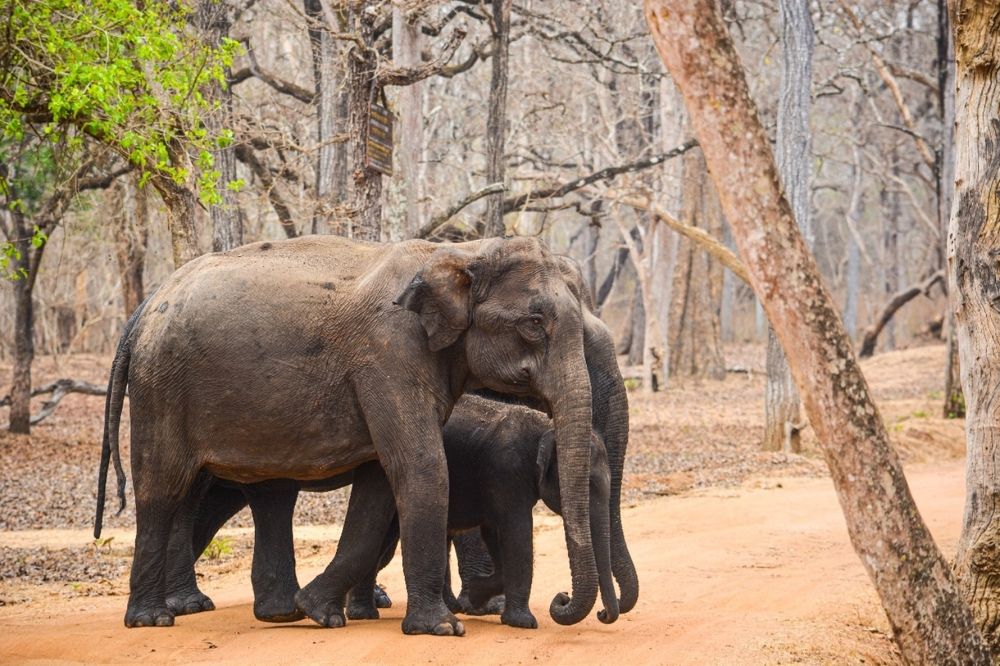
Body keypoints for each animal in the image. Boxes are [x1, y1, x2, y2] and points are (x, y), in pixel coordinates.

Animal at [94, 235, 601, 635]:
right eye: (534, 323)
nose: (560, 601)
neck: (461, 251)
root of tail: (142, 313)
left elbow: (378, 487)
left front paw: (320, 612)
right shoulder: (390, 355)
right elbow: (422, 466)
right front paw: (441, 628)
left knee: (251, 492)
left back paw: (276, 613)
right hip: (162, 387)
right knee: (163, 488)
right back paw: (153, 619)